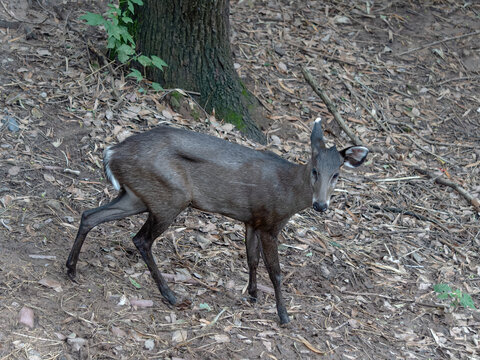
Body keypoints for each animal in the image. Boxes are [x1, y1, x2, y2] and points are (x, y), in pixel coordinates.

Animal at [65, 117, 368, 324]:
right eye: (315, 170)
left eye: (336, 174)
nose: (321, 205)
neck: (287, 192)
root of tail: (112, 153)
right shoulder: (270, 223)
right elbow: (276, 271)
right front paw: (283, 316)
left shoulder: (252, 220)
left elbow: (251, 259)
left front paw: (253, 294)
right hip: (170, 197)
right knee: (140, 239)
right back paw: (170, 295)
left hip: (137, 195)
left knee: (89, 215)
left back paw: (71, 269)